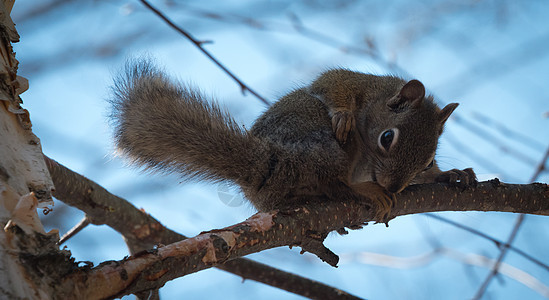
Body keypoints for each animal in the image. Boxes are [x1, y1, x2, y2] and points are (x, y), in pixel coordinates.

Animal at [110, 59, 476, 223]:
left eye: (428, 160)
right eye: (387, 138)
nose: (394, 187)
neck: (377, 97)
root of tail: (266, 168)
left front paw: (451, 174)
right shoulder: (354, 82)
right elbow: (332, 84)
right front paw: (343, 113)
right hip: (324, 148)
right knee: (334, 183)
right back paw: (363, 190)